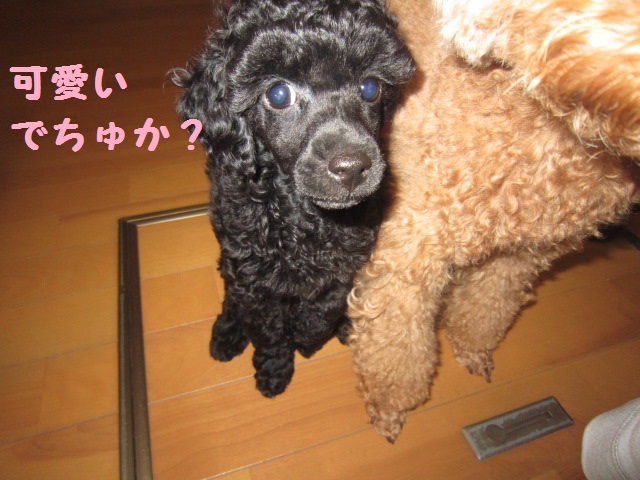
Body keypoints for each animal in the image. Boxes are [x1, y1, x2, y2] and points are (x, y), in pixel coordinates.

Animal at [174, 0, 414, 397]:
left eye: (370, 87)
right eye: (278, 95)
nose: (352, 167)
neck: (304, 218)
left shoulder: (346, 263)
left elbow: (325, 307)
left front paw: (307, 334)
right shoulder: (254, 278)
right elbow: (269, 331)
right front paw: (274, 369)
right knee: (230, 295)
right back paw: (227, 332)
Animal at [347, 0, 639, 442]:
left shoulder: (523, 253)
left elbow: (488, 305)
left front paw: (471, 347)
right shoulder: (412, 252)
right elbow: (395, 347)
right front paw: (389, 406)